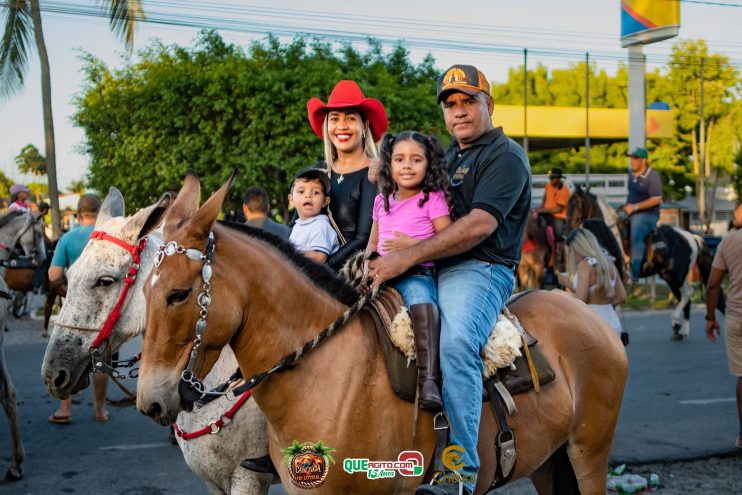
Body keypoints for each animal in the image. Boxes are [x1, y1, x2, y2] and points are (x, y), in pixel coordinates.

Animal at [138, 173, 628, 495]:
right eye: (144, 289)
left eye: (179, 294)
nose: (151, 401)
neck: (326, 374)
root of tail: (591, 317)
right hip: (548, 462)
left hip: (588, 454)